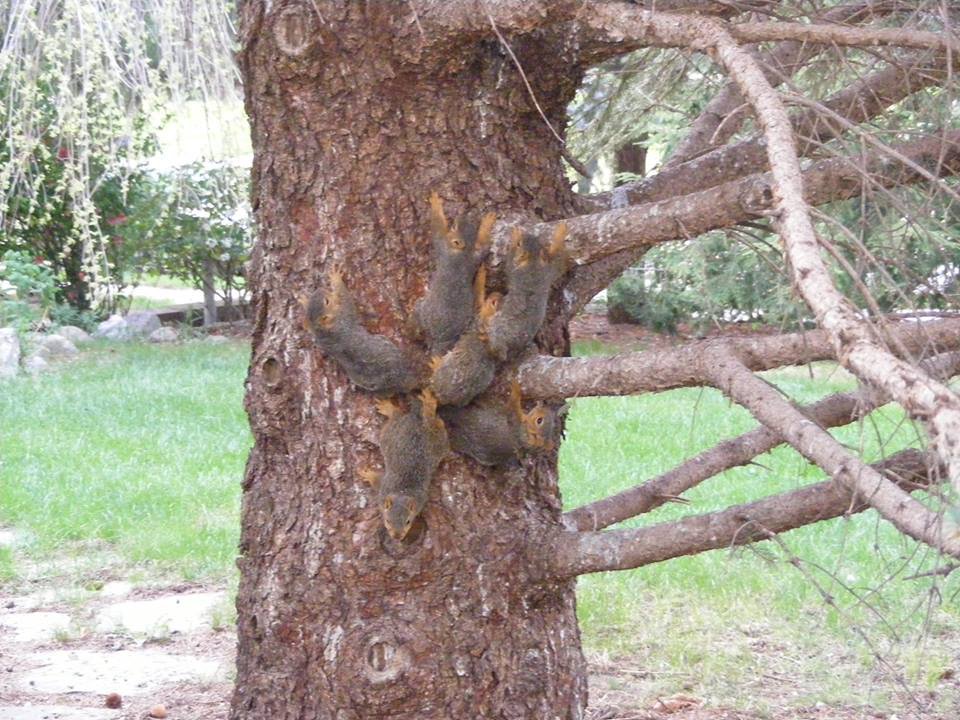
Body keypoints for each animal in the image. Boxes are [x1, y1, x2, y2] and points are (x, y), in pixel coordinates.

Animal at [304, 266, 424, 395]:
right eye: (327, 301)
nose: (320, 289)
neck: (323, 329)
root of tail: (398, 380)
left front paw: (303, 301)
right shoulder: (344, 317)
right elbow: (346, 298)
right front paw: (336, 277)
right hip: (391, 348)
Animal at [362, 390, 449, 540]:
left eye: (408, 522)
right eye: (387, 521)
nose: (397, 537)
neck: (402, 492)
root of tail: (417, 422)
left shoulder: (420, 500)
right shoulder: (383, 489)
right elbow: (377, 481)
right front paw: (367, 474)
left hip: (435, 441)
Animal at [411, 193, 496, 355]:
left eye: (454, 227)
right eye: (474, 227)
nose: (463, 215)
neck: (461, 252)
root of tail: (439, 339)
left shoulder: (442, 246)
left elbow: (436, 228)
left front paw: (435, 202)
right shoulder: (473, 257)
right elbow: (483, 247)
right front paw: (487, 224)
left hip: (422, 312)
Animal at [485, 223, 569, 362]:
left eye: (519, 244)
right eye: (538, 241)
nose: (525, 233)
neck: (532, 262)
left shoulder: (517, 271)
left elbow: (509, 264)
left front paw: (514, 234)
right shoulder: (548, 272)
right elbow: (559, 262)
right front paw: (561, 231)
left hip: (500, 327)